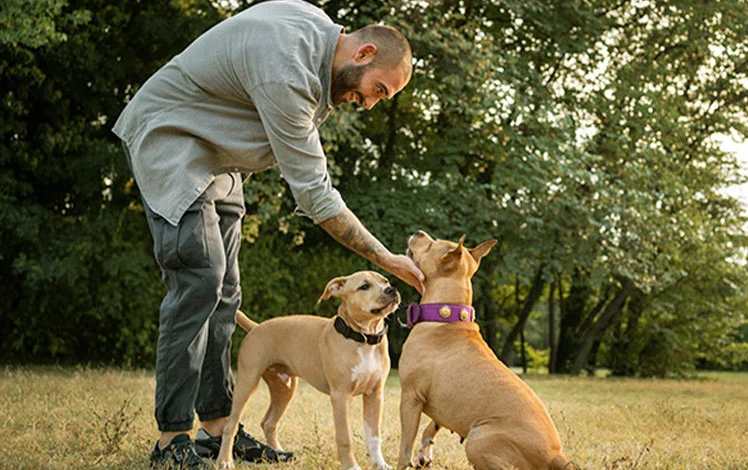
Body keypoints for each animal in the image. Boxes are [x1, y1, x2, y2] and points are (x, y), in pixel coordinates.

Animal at [218, 272, 400, 470]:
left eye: (385, 281)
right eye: (364, 286)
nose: (392, 290)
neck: (364, 338)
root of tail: (256, 327)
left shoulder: (375, 394)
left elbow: (374, 437)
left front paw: (381, 464)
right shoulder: (341, 396)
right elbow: (345, 438)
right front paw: (351, 466)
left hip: (284, 387)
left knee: (268, 422)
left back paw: (279, 454)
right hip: (247, 382)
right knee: (230, 425)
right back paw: (225, 460)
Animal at [398, 231, 580, 470]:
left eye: (431, 244)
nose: (418, 232)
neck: (446, 316)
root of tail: (555, 455)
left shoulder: (410, 397)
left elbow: (405, 446)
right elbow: (432, 426)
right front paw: (424, 452)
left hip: (478, 438)